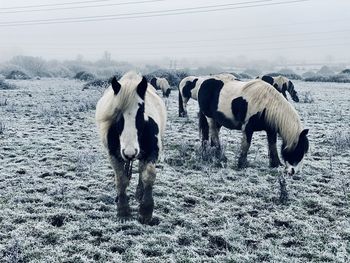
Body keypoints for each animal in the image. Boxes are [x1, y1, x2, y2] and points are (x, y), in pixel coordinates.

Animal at [95, 71, 167, 224]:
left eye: (141, 111)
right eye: (116, 112)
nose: (130, 152)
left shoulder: (152, 152)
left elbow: (148, 175)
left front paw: (146, 210)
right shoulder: (114, 155)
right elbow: (121, 180)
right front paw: (123, 210)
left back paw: (139, 193)